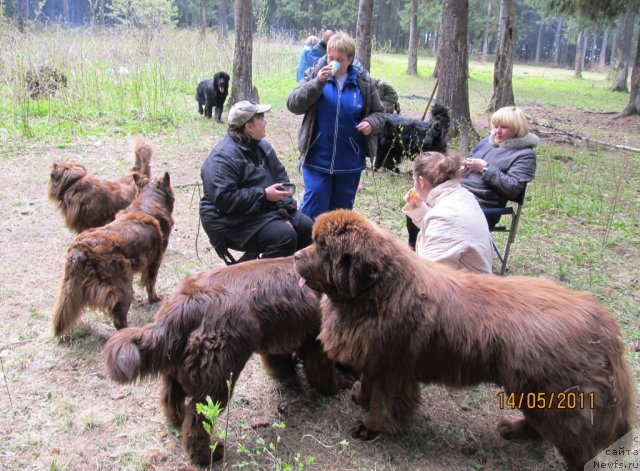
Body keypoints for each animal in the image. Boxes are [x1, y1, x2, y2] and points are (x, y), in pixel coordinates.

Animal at [52, 171, 174, 338]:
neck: (147, 204)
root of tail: (81, 249)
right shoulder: (155, 261)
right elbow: (151, 283)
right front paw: (154, 299)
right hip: (122, 284)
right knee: (119, 321)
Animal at [105, 258, 356, 468]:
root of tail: (182, 307)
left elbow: (279, 361)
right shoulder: (316, 342)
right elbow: (322, 373)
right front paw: (340, 383)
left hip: (175, 367)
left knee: (171, 399)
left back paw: (177, 421)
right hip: (217, 377)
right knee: (197, 423)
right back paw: (209, 454)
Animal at [294, 210, 636, 471]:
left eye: (322, 247)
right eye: (313, 242)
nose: (295, 255)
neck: (377, 293)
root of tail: (603, 322)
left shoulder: (394, 370)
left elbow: (386, 403)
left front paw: (371, 425)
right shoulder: (373, 358)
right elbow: (367, 383)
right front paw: (359, 397)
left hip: (555, 395)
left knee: (580, 445)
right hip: (533, 389)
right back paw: (513, 429)